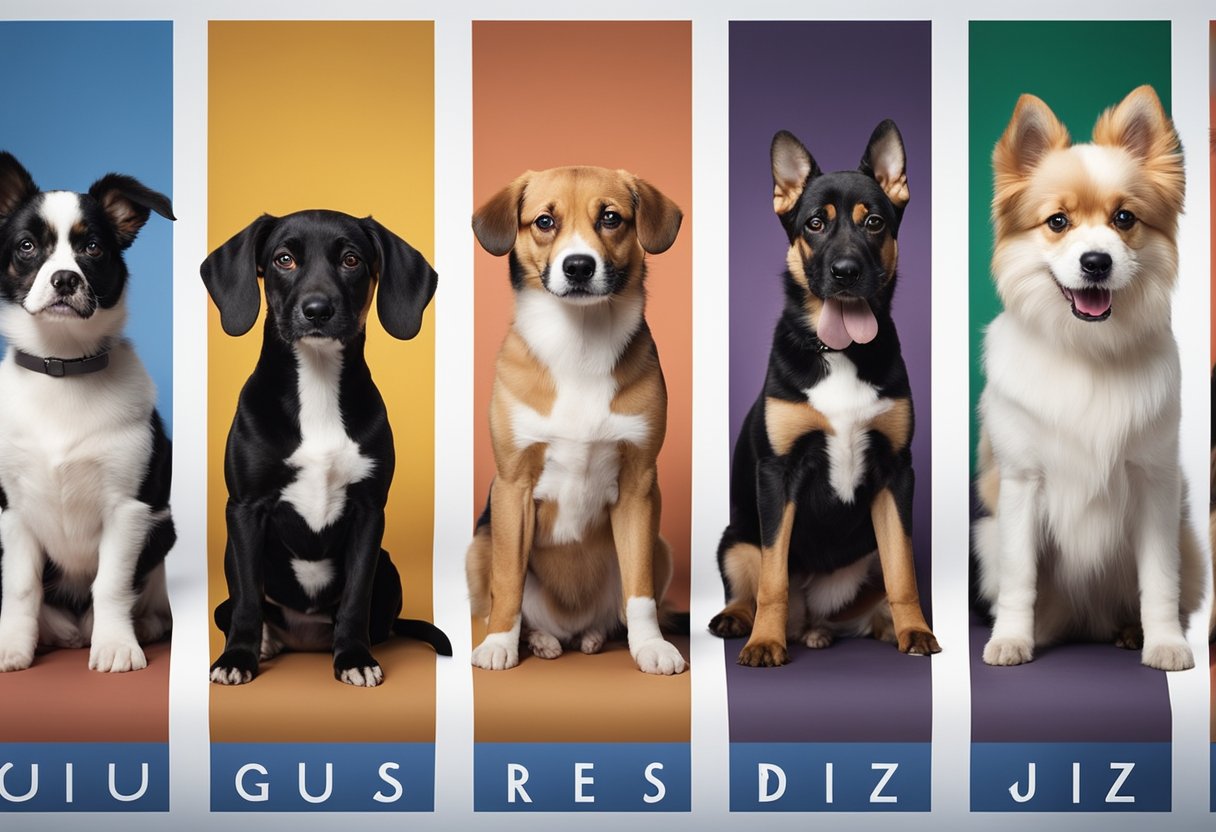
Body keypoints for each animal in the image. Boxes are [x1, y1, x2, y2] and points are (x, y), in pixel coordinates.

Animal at [204, 209, 452, 690]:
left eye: (351, 259)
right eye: (283, 259)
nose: (317, 309)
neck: (317, 384)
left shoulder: (370, 513)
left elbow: (355, 598)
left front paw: (354, 657)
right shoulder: (244, 508)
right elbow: (246, 601)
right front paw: (238, 657)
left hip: (388, 564)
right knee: (235, 607)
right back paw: (265, 641)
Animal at [464, 167, 690, 676]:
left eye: (610, 218)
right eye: (545, 221)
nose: (579, 267)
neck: (580, 343)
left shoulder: (639, 486)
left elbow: (640, 592)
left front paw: (651, 646)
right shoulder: (512, 486)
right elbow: (508, 582)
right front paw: (499, 644)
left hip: (663, 548)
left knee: (616, 613)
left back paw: (592, 636)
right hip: (478, 547)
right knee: (506, 603)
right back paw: (540, 639)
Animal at [710, 125, 938, 671]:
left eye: (874, 222)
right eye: (815, 223)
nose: (846, 270)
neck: (839, 352)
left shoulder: (896, 473)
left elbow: (903, 572)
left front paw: (915, 631)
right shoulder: (777, 474)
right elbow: (773, 578)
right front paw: (764, 643)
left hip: (865, 555)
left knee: (866, 598)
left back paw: (868, 627)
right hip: (735, 538)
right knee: (750, 584)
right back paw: (742, 621)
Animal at [972, 86, 1201, 671]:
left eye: (1124, 218)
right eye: (1058, 222)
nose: (1096, 262)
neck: (1087, 350)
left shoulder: (1154, 481)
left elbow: (1159, 579)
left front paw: (1165, 643)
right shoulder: (1022, 484)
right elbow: (1020, 578)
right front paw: (1011, 639)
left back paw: (1130, 631)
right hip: (986, 536)